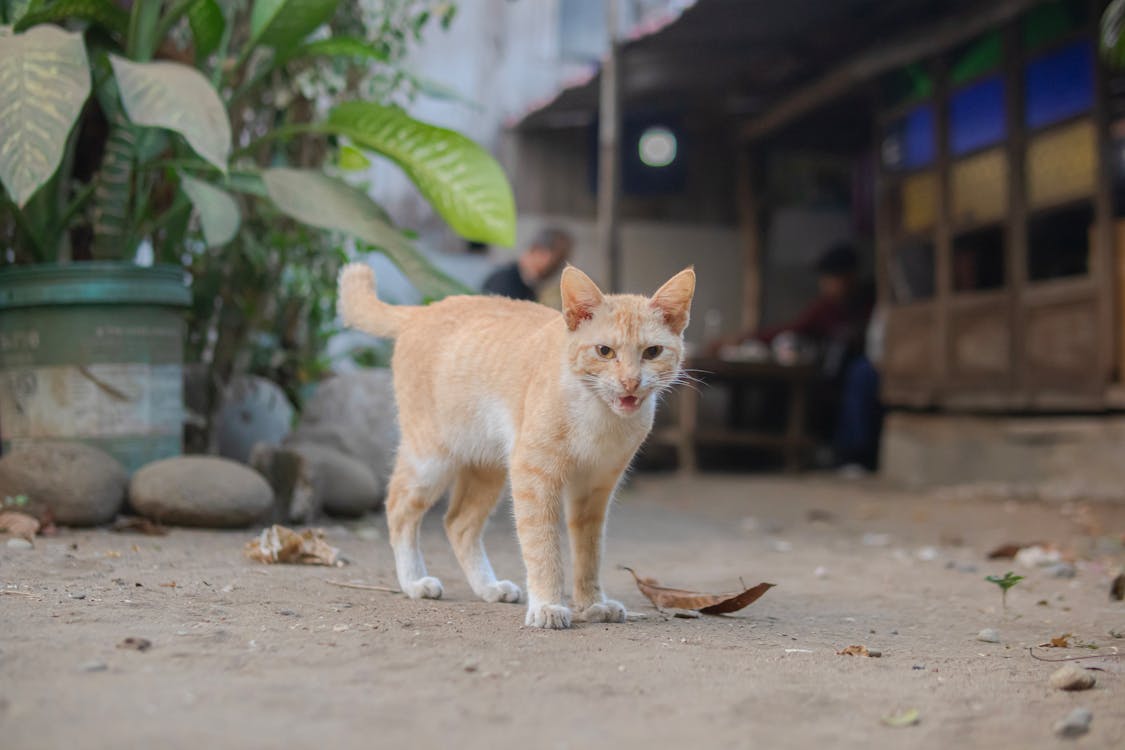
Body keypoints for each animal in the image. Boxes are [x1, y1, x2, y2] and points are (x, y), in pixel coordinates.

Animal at [333, 264, 693, 629]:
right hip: (431, 460)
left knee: (459, 524)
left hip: (488, 468)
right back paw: (414, 582)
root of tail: (424, 310)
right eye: (604, 351)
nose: (630, 382)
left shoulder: (594, 491)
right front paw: (548, 604)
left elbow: (589, 553)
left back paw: (488, 587)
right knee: (398, 508)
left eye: (652, 352)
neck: (598, 417)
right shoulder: (534, 477)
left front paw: (592, 604)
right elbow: (542, 547)